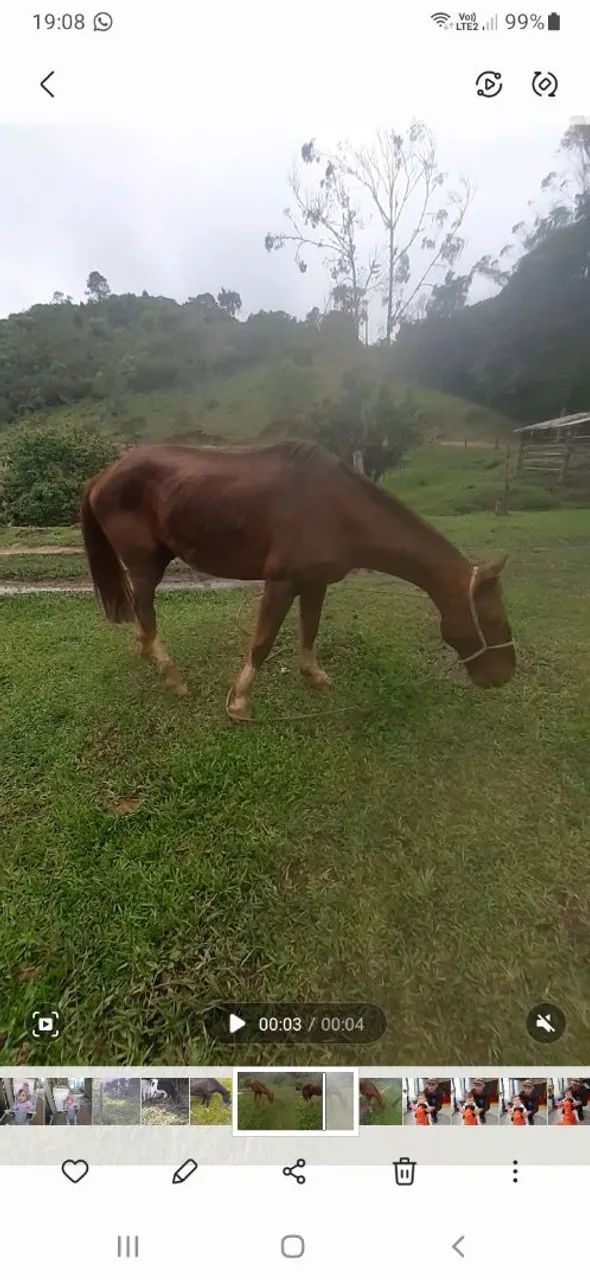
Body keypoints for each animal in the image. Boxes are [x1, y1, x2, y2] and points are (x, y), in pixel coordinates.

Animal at [81, 439, 516, 721]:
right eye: (493, 619)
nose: (503, 677)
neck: (337, 508)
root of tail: (102, 476)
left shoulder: (315, 582)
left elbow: (310, 629)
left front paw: (314, 677)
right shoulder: (282, 582)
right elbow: (263, 640)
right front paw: (239, 702)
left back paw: (148, 653)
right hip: (144, 564)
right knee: (145, 609)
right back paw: (171, 675)